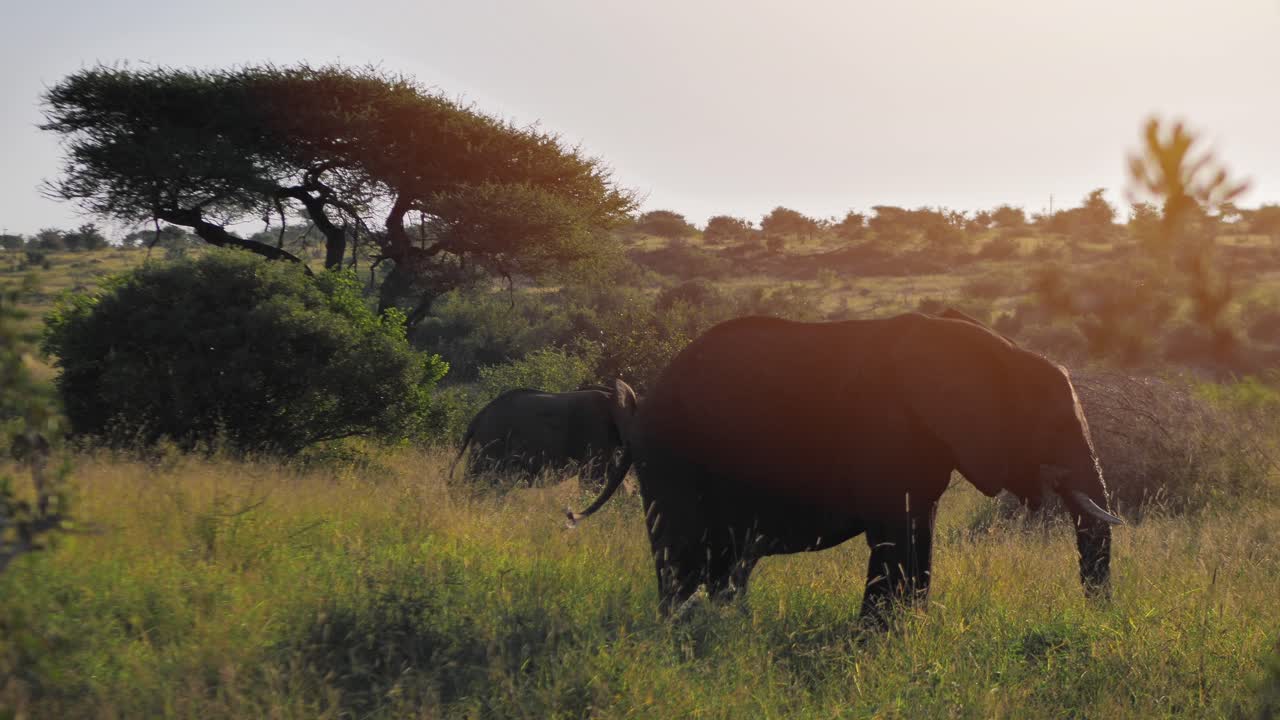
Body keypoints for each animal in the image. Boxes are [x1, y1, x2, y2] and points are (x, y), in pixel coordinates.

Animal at [568, 311, 1122, 626]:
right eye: (1055, 426)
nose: (1098, 621)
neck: (1000, 351)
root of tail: (642, 405)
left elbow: (920, 531)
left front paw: (907, 634)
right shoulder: (885, 432)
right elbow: (895, 535)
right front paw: (877, 641)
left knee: (724, 562)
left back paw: (725, 628)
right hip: (672, 459)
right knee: (683, 557)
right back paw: (681, 636)